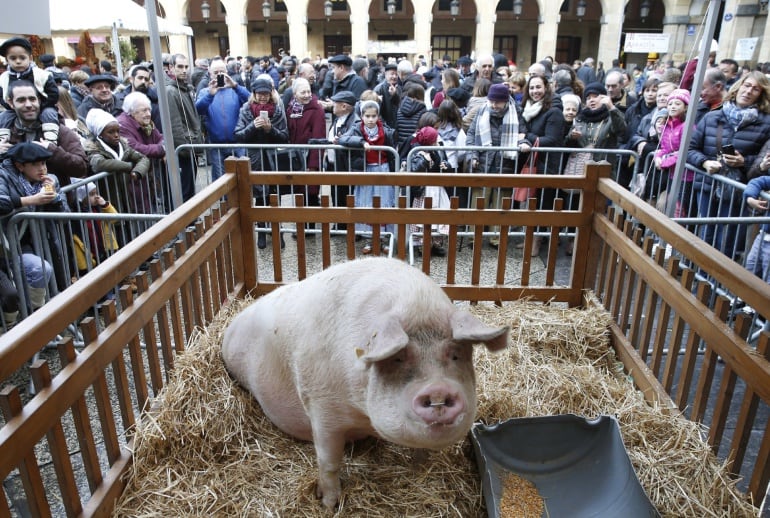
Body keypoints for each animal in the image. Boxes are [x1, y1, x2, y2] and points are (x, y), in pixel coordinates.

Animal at [220, 258, 510, 510]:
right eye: (399, 357)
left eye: (455, 354)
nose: (438, 389)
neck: (362, 415)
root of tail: (231, 325)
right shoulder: (321, 405)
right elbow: (329, 461)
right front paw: (329, 504)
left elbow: (421, 453)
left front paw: (417, 470)